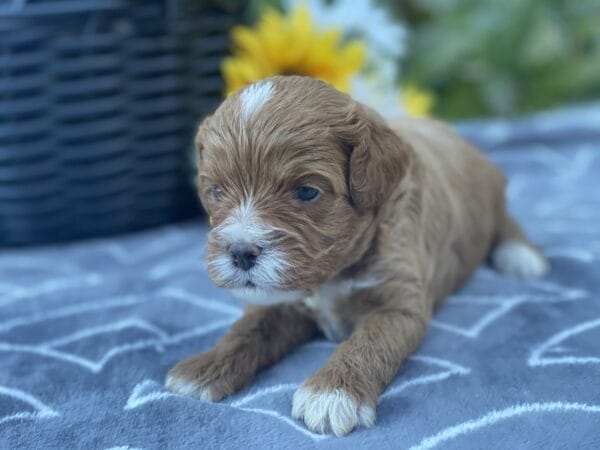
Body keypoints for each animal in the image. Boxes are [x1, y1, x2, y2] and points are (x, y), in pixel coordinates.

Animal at [165, 76, 548, 436]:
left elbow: (369, 342)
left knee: (506, 222)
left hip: (490, 195)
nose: (241, 252)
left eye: (306, 192)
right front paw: (204, 368)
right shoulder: (278, 299)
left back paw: (521, 257)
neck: (331, 276)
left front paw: (331, 394)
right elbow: (247, 330)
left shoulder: (398, 302)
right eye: (216, 192)